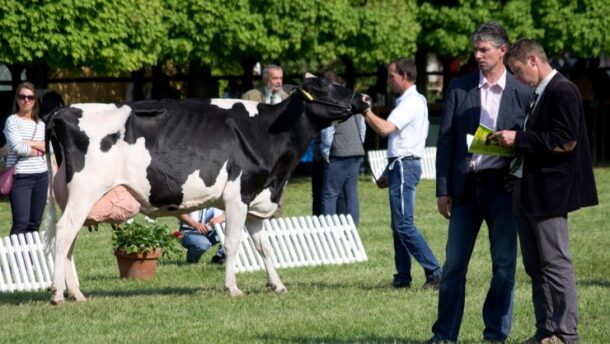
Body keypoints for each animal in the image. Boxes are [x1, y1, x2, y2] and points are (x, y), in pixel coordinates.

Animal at [45, 77, 368, 304]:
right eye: (325, 85)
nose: (364, 97)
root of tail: (63, 111)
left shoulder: (256, 201)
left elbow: (264, 247)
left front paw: (277, 284)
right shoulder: (238, 195)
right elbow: (234, 243)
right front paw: (233, 287)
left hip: (78, 198)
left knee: (70, 239)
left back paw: (77, 294)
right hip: (85, 191)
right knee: (64, 233)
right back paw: (58, 294)